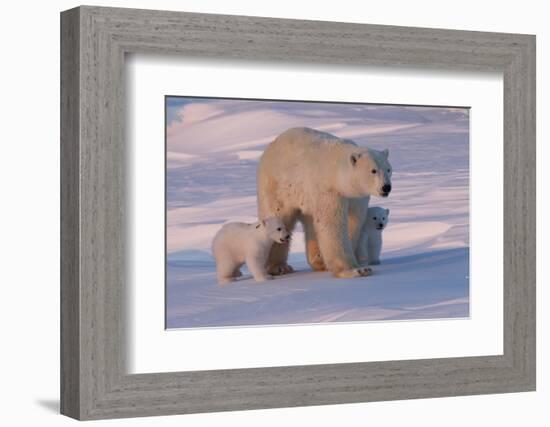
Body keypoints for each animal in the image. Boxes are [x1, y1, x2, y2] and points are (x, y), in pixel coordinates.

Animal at [258, 127, 392, 280]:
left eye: (388, 169)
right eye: (373, 170)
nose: (386, 187)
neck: (337, 173)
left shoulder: (357, 197)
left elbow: (353, 222)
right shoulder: (328, 191)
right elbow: (332, 224)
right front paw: (355, 270)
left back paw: (319, 261)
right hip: (278, 187)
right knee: (279, 218)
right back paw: (278, 267)